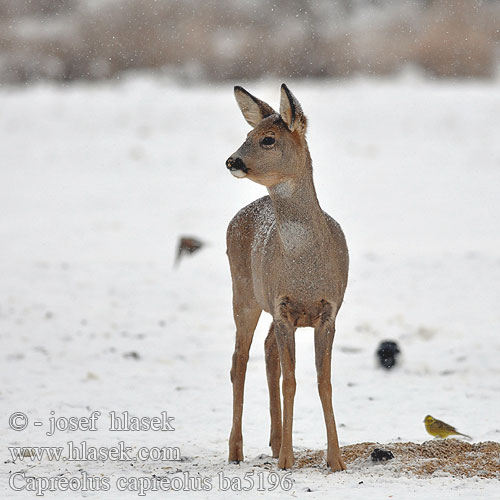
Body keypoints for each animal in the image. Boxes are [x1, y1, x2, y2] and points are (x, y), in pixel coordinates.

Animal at [226, 84, 348, 470]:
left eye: (267, 139)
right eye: (246, 135)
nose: (232, 161)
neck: (304, 268)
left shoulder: (328, 311)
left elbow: (324, 382)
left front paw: (336, 460)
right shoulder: (282, 308)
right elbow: (291, 381)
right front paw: (287, 461)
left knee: (266, 352)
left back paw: (275, 440)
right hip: (244, 294)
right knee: (239, 361)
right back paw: (236, 450)